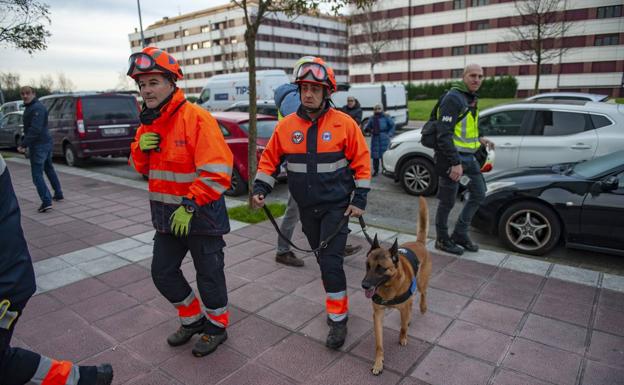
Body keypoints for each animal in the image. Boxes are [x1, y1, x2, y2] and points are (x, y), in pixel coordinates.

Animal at [360, 196, 428, 374]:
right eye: (367, 266)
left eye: (381, 269)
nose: (364, 285)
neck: (389, 286)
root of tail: (419, 243)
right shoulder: (378, 314)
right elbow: (379, 343)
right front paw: (378, 362)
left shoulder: (403, 306)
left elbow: (403, 327)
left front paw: (403, 337)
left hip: (421, 282)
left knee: (422, 295)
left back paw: (422, 308)